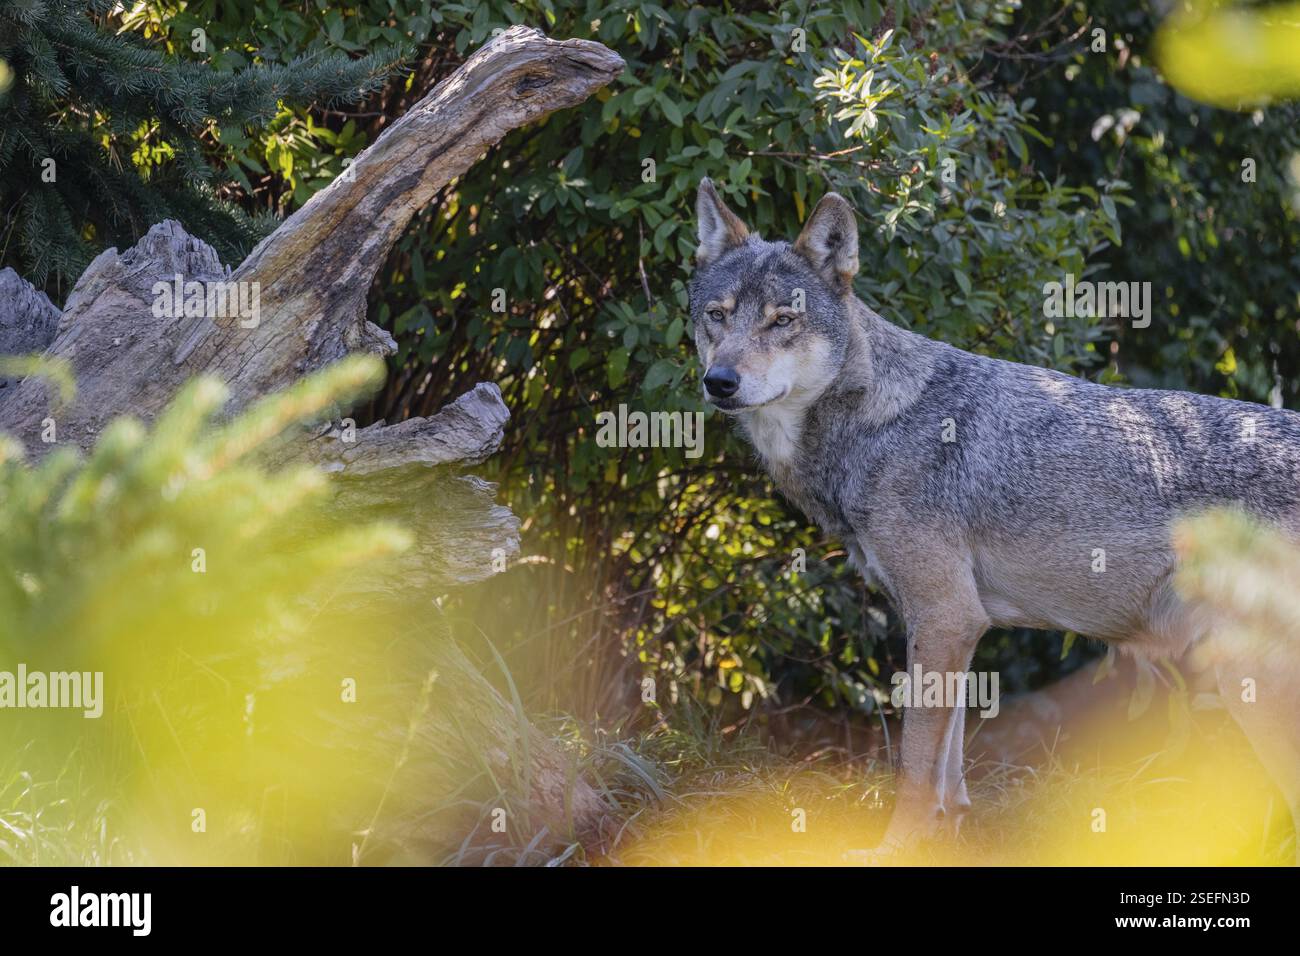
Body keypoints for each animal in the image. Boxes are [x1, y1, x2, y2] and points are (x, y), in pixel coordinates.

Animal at [689, 178, 1300, 857]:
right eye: (717, 315)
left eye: (783, 320)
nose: (720, 381)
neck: (875, 417)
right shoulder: (958, 623)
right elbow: (949, 765)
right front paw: (947, 833)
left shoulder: (945, 615)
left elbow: (914, 763)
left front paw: (893, 851)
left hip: (1252, 683)